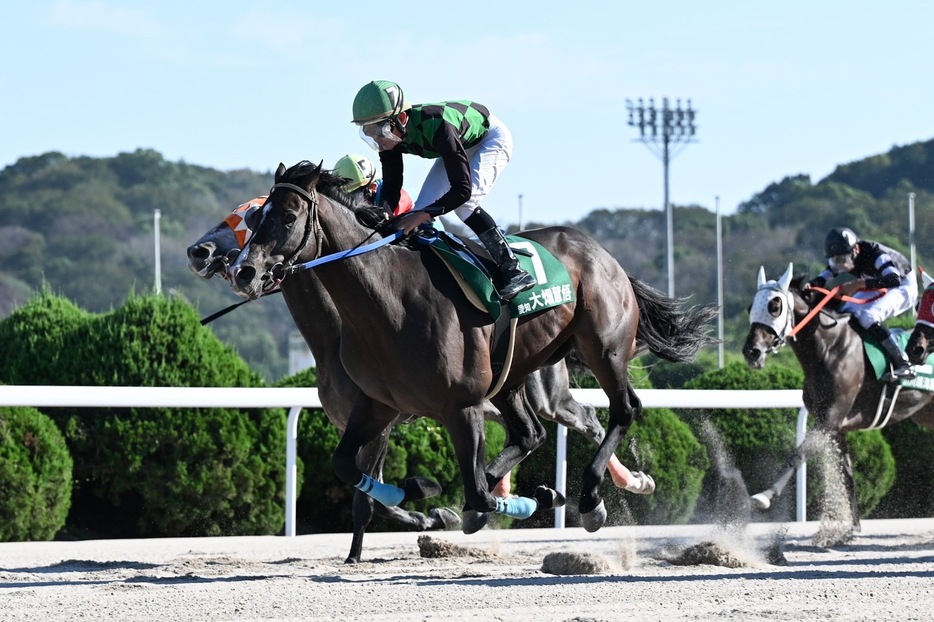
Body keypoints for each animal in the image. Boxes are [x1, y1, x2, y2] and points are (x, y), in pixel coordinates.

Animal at [229, 160, 716, 532]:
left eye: (288, 217)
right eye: (256, 218)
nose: (244, 272)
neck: (387, 304)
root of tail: (603, 253)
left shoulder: (460, 405)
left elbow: (473, 493)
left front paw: (442, 502)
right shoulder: (377, 404)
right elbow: (347, 467)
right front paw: (419, 493)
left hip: (603, 348)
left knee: (621, 410)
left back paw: (593, 497)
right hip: (513, 372)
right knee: (531, 434)